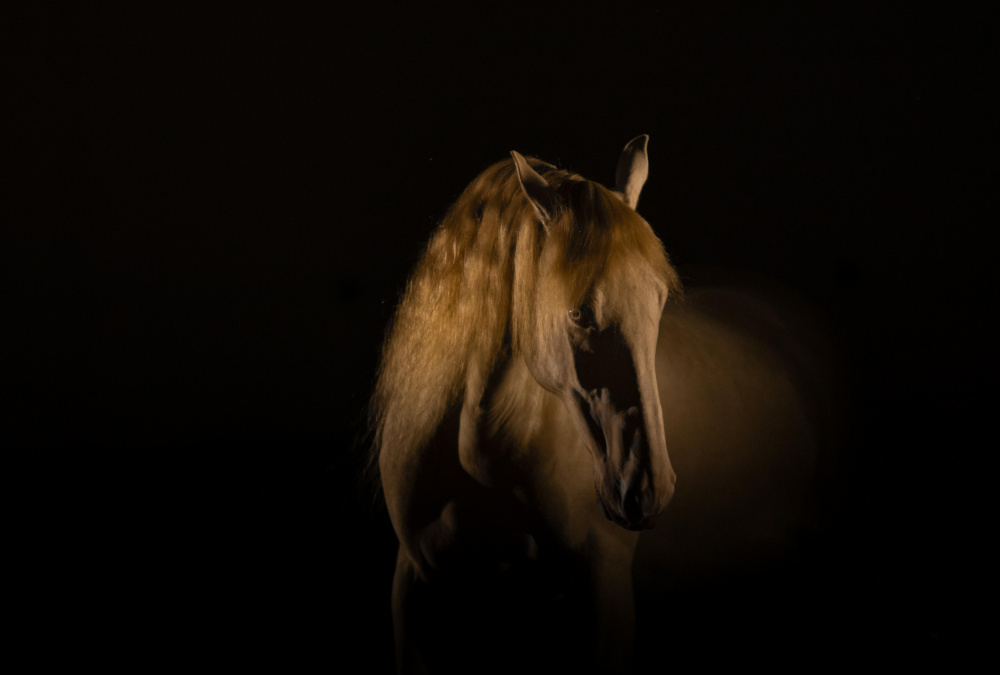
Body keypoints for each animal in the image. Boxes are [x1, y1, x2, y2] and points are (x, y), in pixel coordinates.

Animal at [368, 137, 833, 673]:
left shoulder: (604, 585)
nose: (648, 489)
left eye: (658, 301)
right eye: (577, 313)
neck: (480, 454)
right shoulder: (414, 585)